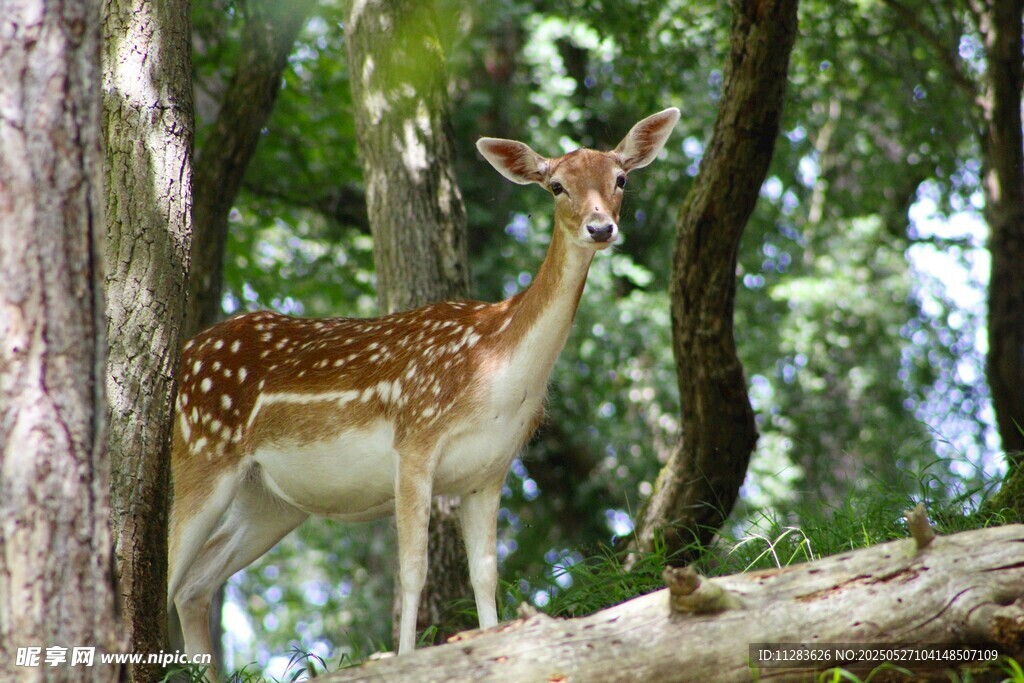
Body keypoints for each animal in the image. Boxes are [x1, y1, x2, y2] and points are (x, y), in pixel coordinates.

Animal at [167, 108, 680, 672]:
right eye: (556, 186)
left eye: (621, 178)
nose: (601, 227)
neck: (496, 370)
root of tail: (185, 353)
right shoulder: (415, 439)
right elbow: (414, 570)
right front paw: (405, 657)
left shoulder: (490, 471)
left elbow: (485, 575)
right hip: (199, 455)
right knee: (160, 572)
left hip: (269, 500)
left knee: (195, 584)